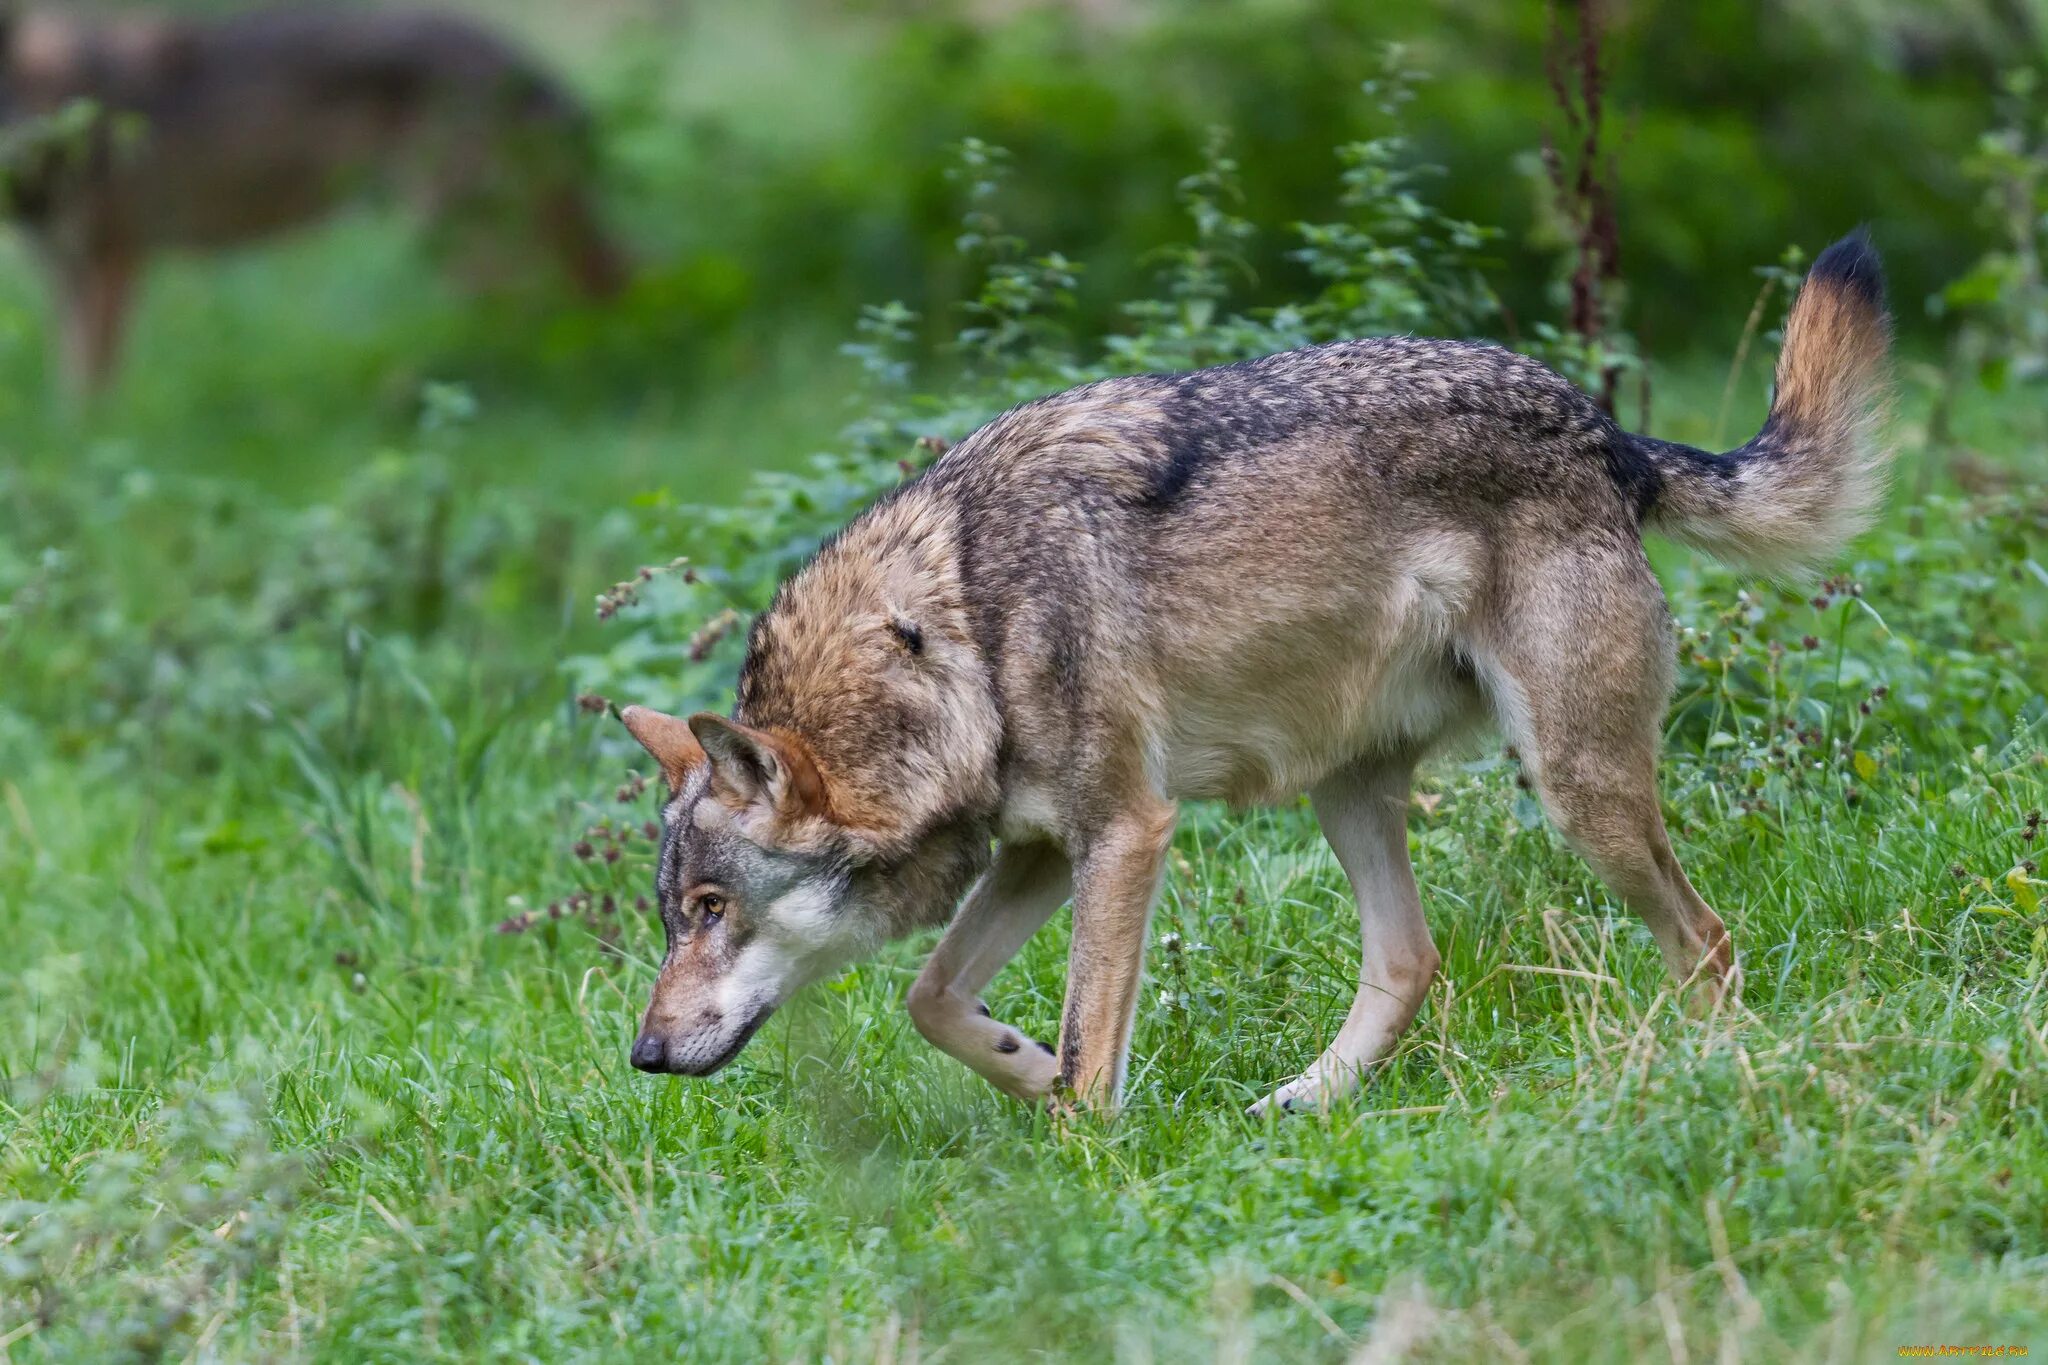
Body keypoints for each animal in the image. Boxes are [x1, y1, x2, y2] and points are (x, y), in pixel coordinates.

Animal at [0, 9, 622, 394]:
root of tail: (530, 66)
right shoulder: (67, 272)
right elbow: (71, 382)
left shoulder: (113, 258)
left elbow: (91, 387)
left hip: (464, 243)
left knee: (551, 312)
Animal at [614, 229, 1892, 1113]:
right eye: (672, 916)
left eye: (713, 910)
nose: (642, 1053)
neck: (955, 629)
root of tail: (1604, 431)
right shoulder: (1040, 850)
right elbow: (934, 1000)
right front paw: (1023, 1069)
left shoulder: (1125, 832)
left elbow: (1085, 1045)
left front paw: (1081, 1157)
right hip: (1347, 793)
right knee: (1409, 960)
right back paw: (1302, 1104)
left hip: (1573, 790)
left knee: (1705, 940)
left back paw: (1703, 1076)